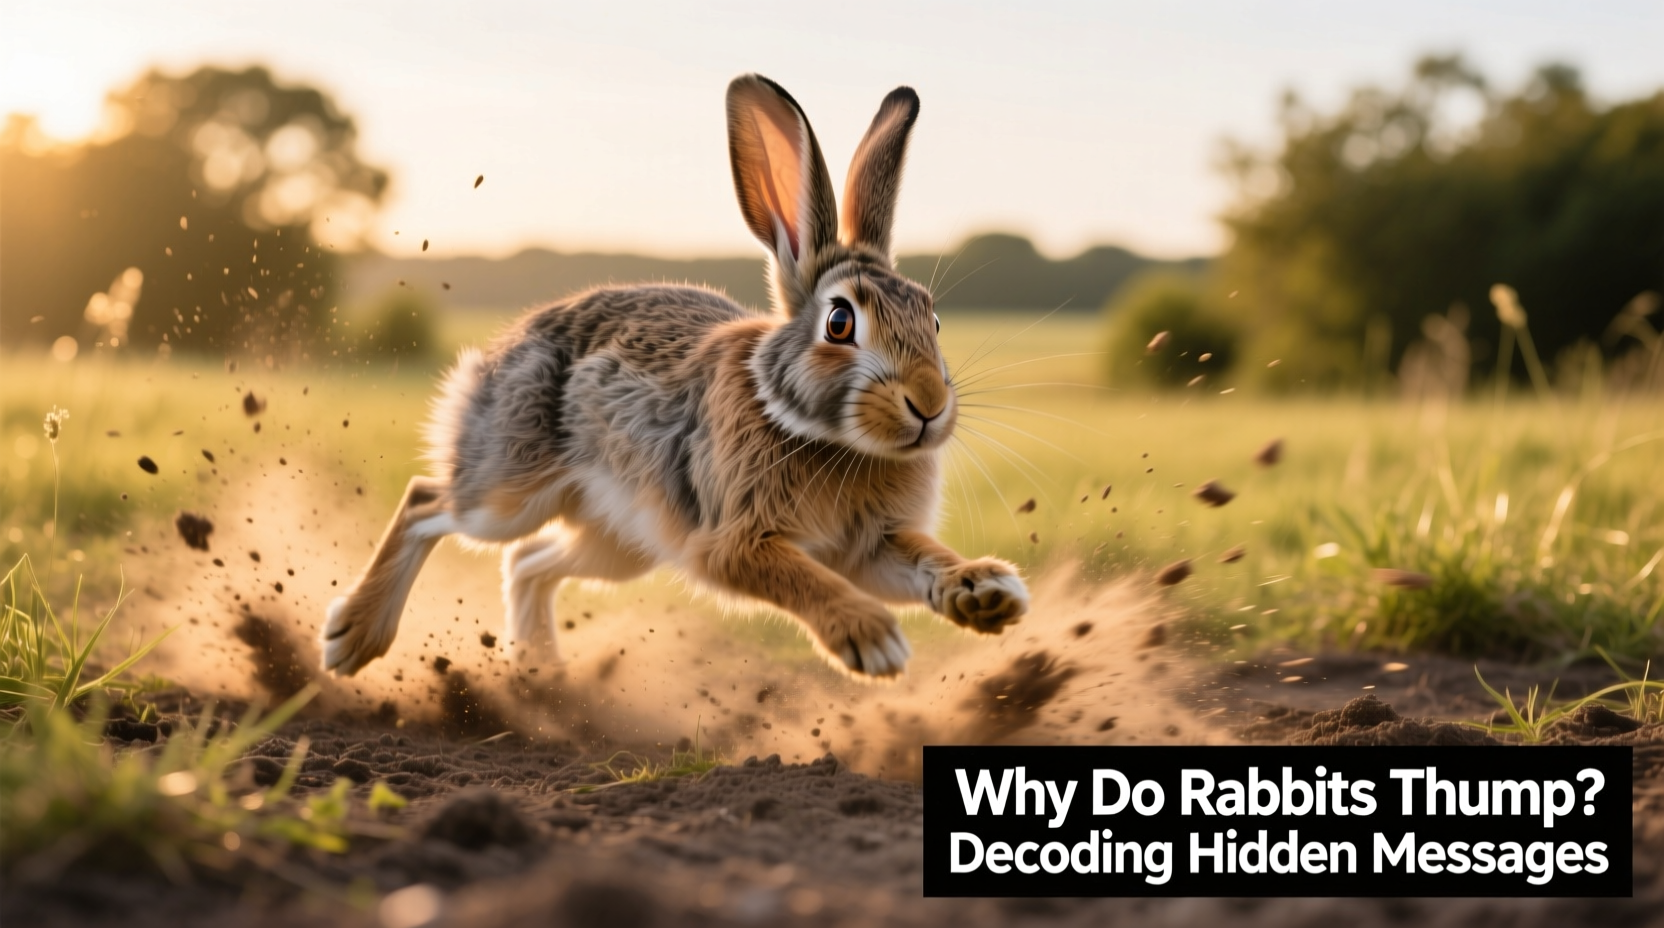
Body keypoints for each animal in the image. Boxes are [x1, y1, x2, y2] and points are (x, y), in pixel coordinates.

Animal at [320, 74, 1030, 680]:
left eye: (931, 318)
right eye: (839, 322)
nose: (929, 405)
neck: (819, 432)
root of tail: (501, 352)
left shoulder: (872, 547)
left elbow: (923, 559)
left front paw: (987, 591)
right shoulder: (732, 540)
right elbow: (801, 578)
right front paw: (870, 636)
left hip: (619, 541)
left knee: (527, 564)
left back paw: (544, 681)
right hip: (508, 493)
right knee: (428, 502)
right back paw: (352, 637)